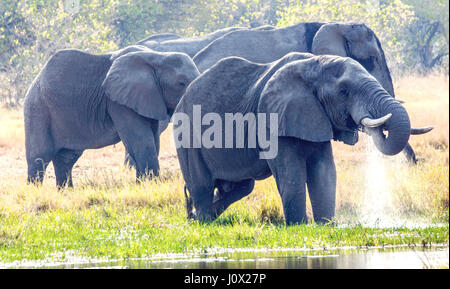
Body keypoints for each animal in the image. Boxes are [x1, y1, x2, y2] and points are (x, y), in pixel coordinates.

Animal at [24, 44, 200, 187]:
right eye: (181, 83)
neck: (158, 57)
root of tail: (35, 79)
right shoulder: (118, 103)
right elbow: (142, 141)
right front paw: (149, 185)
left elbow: (153, 140)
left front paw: (142, 184)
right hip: (37, 110)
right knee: (39, 158)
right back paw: (36, 191)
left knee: (66, 158)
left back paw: (66, 192)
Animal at [174, 53, 414, 224]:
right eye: (344, 91)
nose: (377, 128)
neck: (313, 64)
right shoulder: (272, 119)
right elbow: (291, 172)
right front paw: (299, 226)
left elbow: (324, 170)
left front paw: (326, 225)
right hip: (186, 135)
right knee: (202, 185)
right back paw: (202, 221)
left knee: (241, 186)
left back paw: (197, 216)